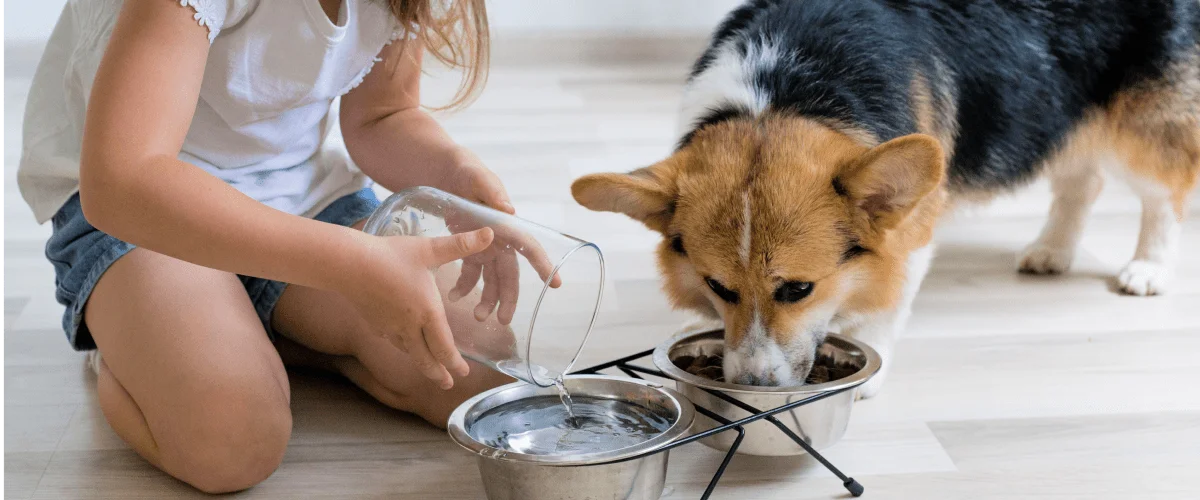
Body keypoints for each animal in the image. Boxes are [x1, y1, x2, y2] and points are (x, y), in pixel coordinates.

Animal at [566, 0, 1195, 398]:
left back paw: (1147, 267)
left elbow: (883, 310)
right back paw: (1052, 251)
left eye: (798, 290)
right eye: (719, 288)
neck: (782, 96)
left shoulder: (909, 235)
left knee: (1163, 190)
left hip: (1138, 127)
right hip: (1059, 110)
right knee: (1082, 181)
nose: (753, 387)